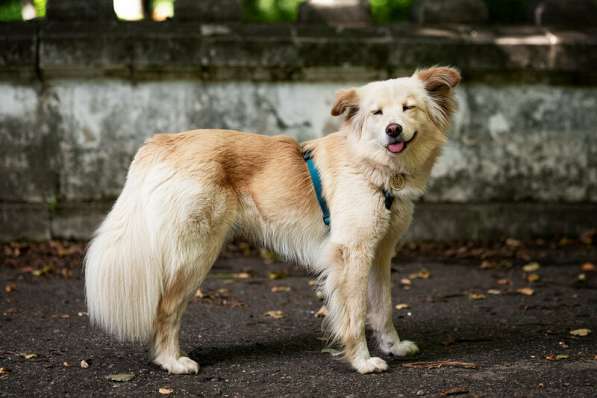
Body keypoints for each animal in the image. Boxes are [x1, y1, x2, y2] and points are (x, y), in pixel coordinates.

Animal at [84, 65, 458, 374]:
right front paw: (362, 361)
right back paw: (172, 361)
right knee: (166, 309)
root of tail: (162, 141)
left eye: (409, 108)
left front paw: (393, 346)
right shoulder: (352, 254)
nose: (393, 130)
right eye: (376, 113)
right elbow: (355, 314)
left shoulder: (379, 253)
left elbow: (383, 307)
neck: (371, 167)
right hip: (195, 254)